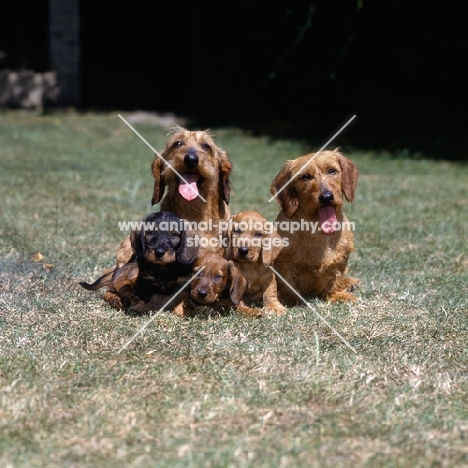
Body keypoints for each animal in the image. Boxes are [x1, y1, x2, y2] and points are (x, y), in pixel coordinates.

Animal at [270, 149, 358, 304]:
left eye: (332, 170)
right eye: (305, 177)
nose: (326, 197)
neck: (317, 229)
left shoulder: (341, 261)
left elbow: (335, 280)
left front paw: (337, 294)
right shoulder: (284, 264)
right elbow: (288, 285)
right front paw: (291, 299)